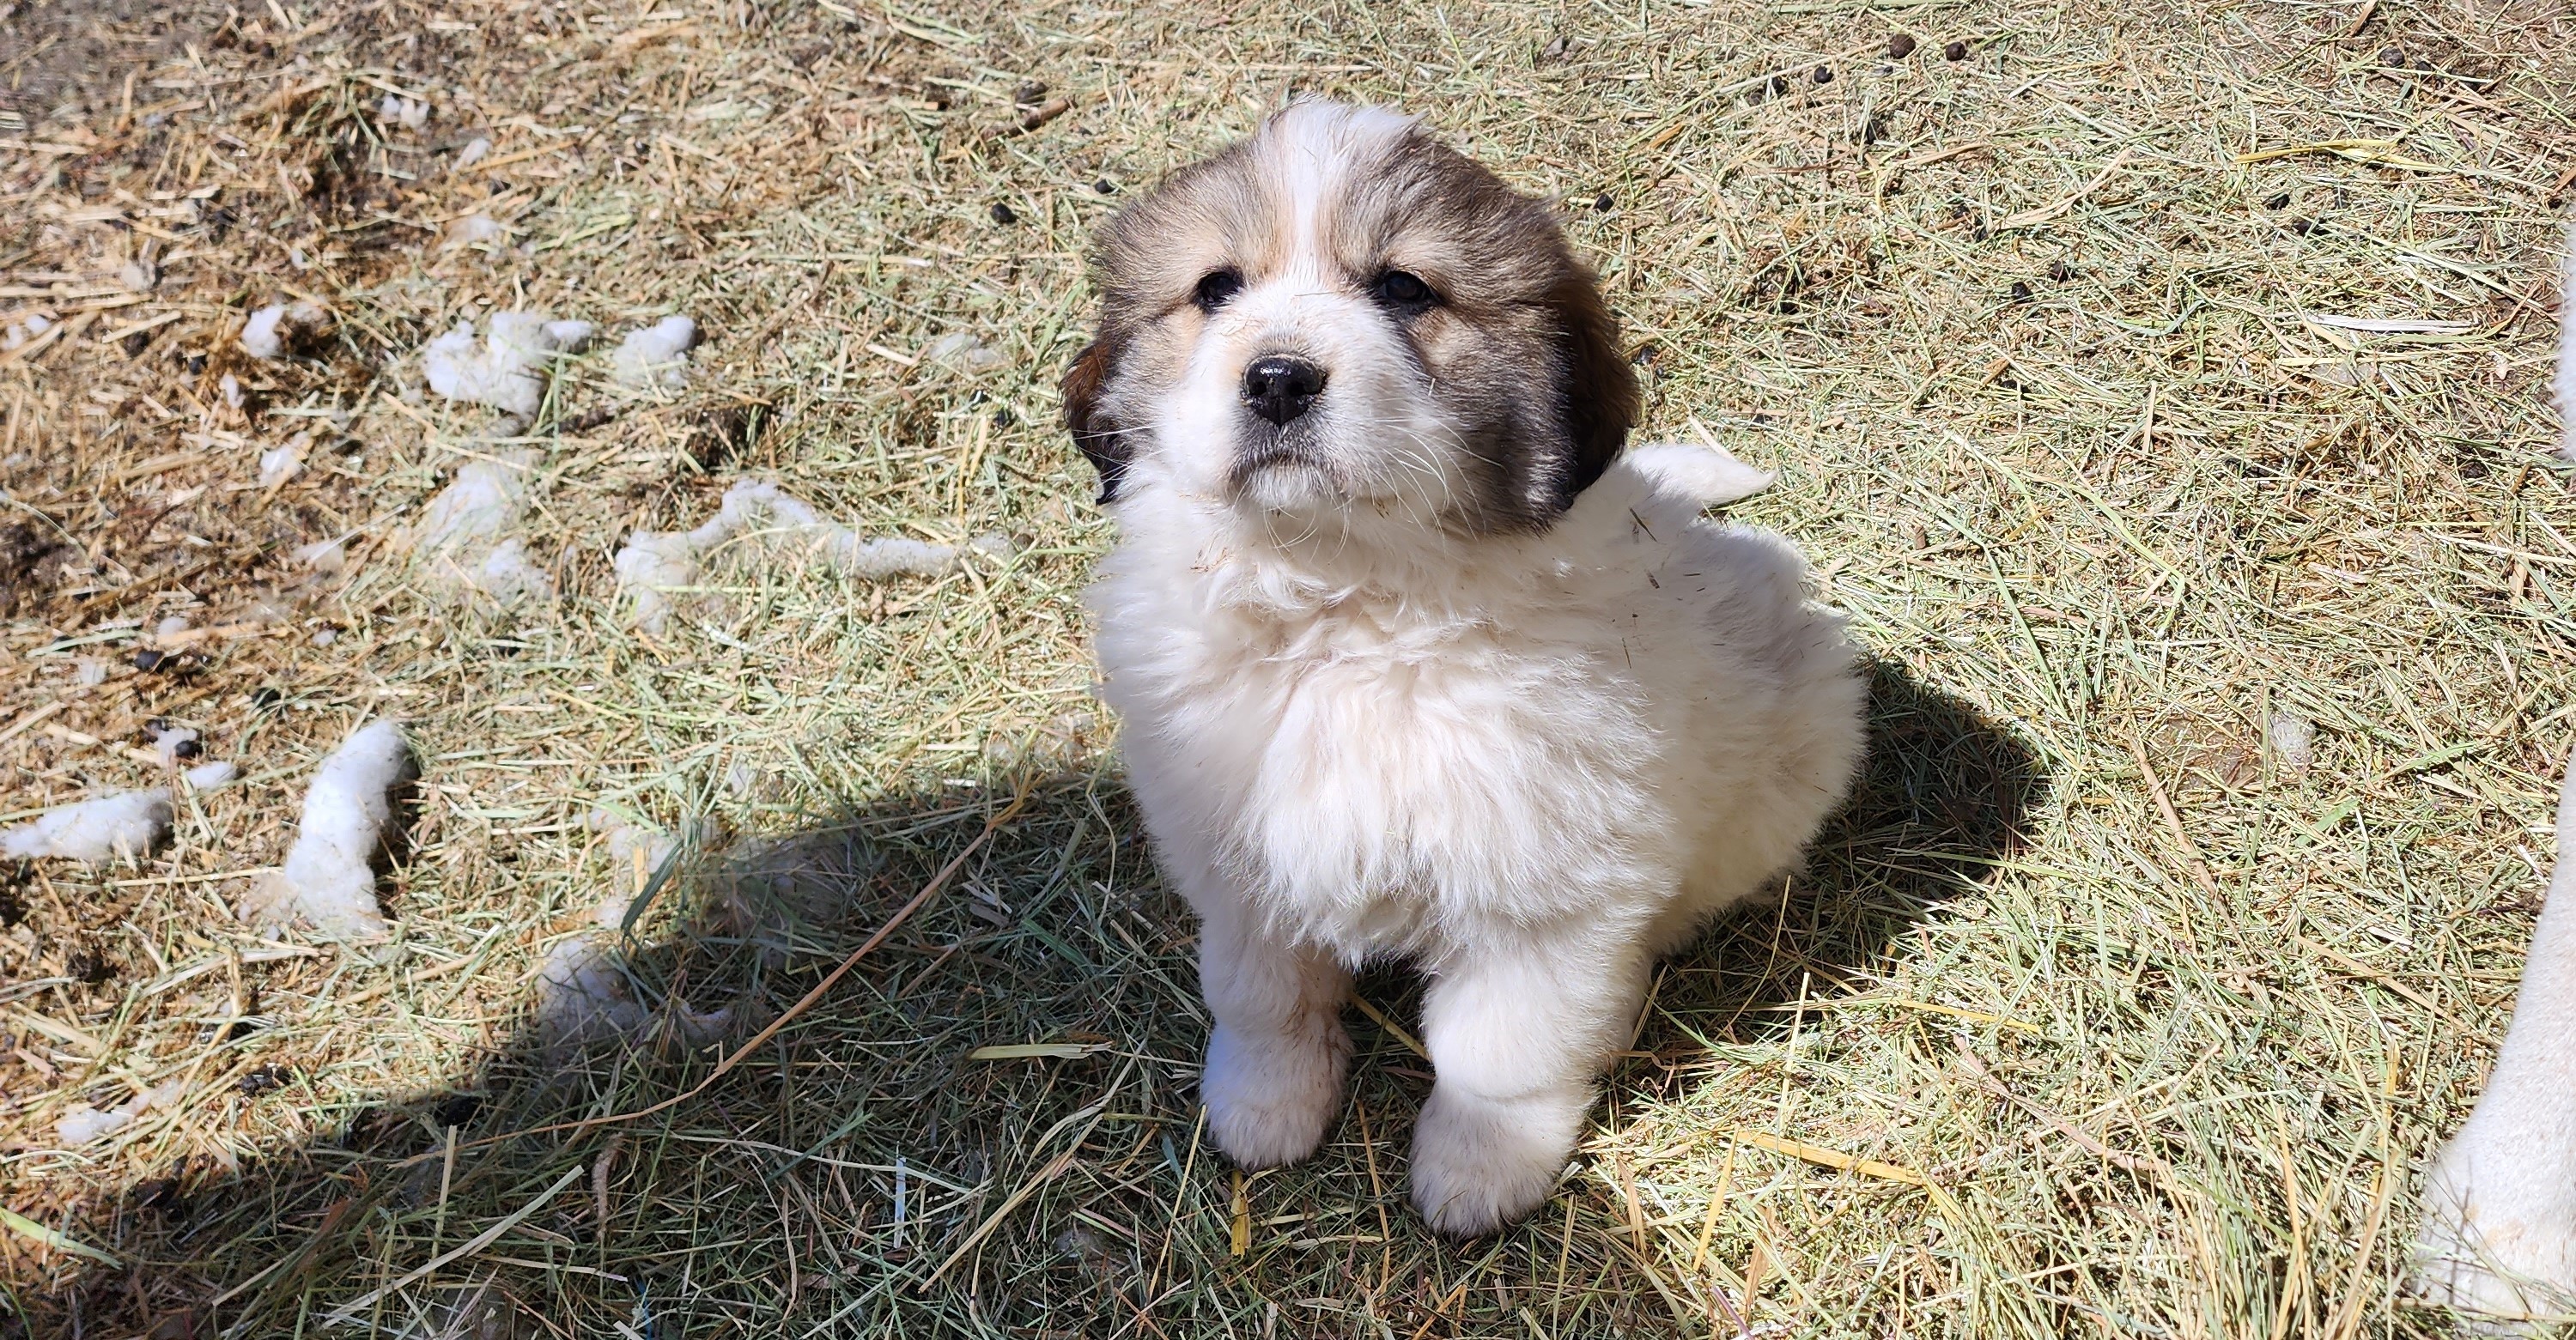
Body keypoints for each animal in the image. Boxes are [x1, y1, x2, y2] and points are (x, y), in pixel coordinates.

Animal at [1066, 101, 1875, 1236]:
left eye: (1405, 289)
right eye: (1216, 288)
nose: (1277, 376)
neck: (1349, 608)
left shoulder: (1543, 895)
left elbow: (1498, 1053)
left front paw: (1478, 1171)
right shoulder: (1239, 856)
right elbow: (1264, 994)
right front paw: (1264, 1105)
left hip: (1795, 755)